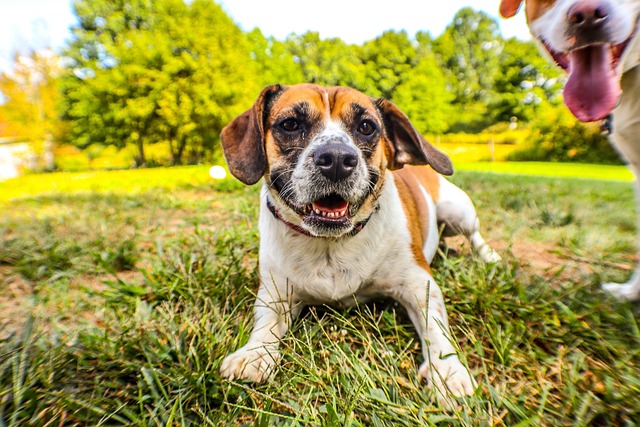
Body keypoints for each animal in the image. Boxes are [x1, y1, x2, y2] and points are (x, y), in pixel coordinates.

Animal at [220, 84, 500, 408]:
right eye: (290, 124)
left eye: (366, 127)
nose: (337, 159)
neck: (331, 244)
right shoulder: (276, 292)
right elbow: (266, 319)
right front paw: (254, 353)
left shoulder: (418, 283)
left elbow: (435, 324)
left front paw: (447, 370)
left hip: (458, 212)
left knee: (475, 236)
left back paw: (489, 256)